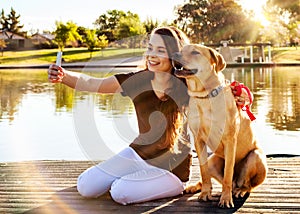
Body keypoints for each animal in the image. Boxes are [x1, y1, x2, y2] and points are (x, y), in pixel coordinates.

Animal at [172, 44, 268, 208]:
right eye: (182, 50)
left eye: (195, 52)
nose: (173, 55)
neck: (204, 96)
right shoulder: (198, 139)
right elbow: (203, 171)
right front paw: (205, 193)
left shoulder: (230, 139)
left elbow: (228, 173)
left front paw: (226, 199)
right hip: (213, 160)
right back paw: (195, 187)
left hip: (255, 156)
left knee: (246, 184)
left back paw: (240, 190)